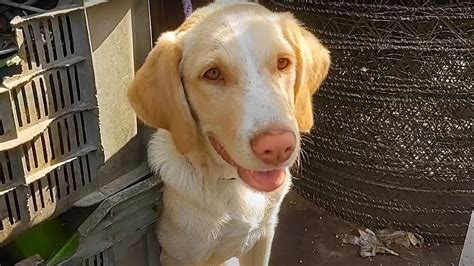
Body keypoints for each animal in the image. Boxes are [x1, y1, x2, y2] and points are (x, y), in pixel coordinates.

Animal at [128, 1, 332, 264]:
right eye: (213, 74)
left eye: (283, 63)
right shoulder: (180, 255)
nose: (278, 147)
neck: (233, 186)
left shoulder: (263, 237)